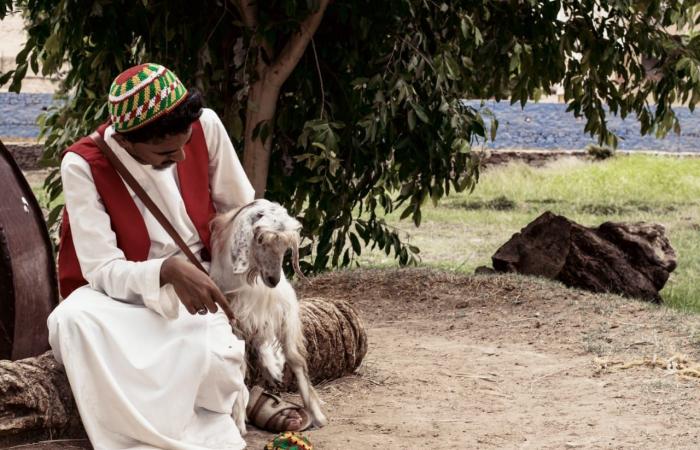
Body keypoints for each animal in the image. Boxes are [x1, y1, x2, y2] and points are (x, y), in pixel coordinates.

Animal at [209, 200, 326, 432]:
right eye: (260, 239)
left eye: (285, 247)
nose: (274, 280)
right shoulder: (235, 320)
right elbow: (239, 367)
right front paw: (238, 419)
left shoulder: (276, 313)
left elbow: (293, 360)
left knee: (296, 361)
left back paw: (316, 414)